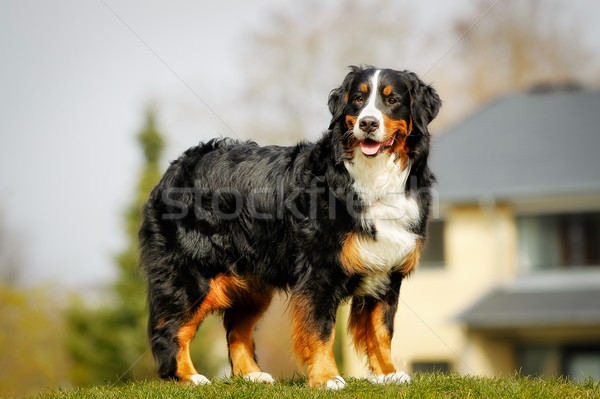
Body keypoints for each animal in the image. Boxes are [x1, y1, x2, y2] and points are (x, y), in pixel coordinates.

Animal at [139, 66, 440, 390]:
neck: (372, 176)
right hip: (192, 274)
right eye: (358, 99)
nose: (368, 123)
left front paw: (387, 374)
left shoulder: (387, 271)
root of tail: (176, 166)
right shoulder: (320, 272)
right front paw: (327, 377)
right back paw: (188, 377)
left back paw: (252, 375)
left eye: (392, 100)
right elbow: (321, 329)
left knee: (237, 329)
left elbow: (382, 330)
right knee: (171, 328)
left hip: (252, 281)